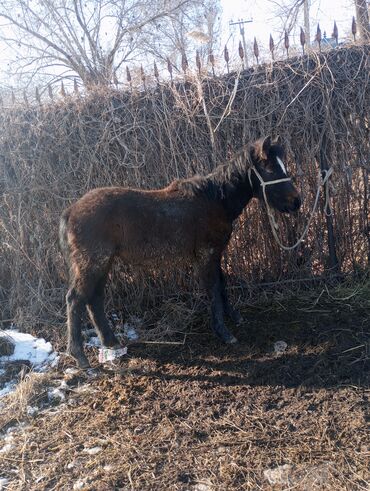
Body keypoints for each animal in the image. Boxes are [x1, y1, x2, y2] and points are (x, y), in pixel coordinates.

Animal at [58, 136, 300, 368]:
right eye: (271, 169)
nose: (297, 202)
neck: (215, 200)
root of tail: (70, 211)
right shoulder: (207, 255)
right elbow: (213, 289)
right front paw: (224, 333)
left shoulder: (216, 254)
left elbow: (222, 284)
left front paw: (234, 317)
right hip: (92, 263)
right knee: (75, 299)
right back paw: (79, 356)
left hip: (103, 263)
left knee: (95, 299)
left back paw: (111, 342)